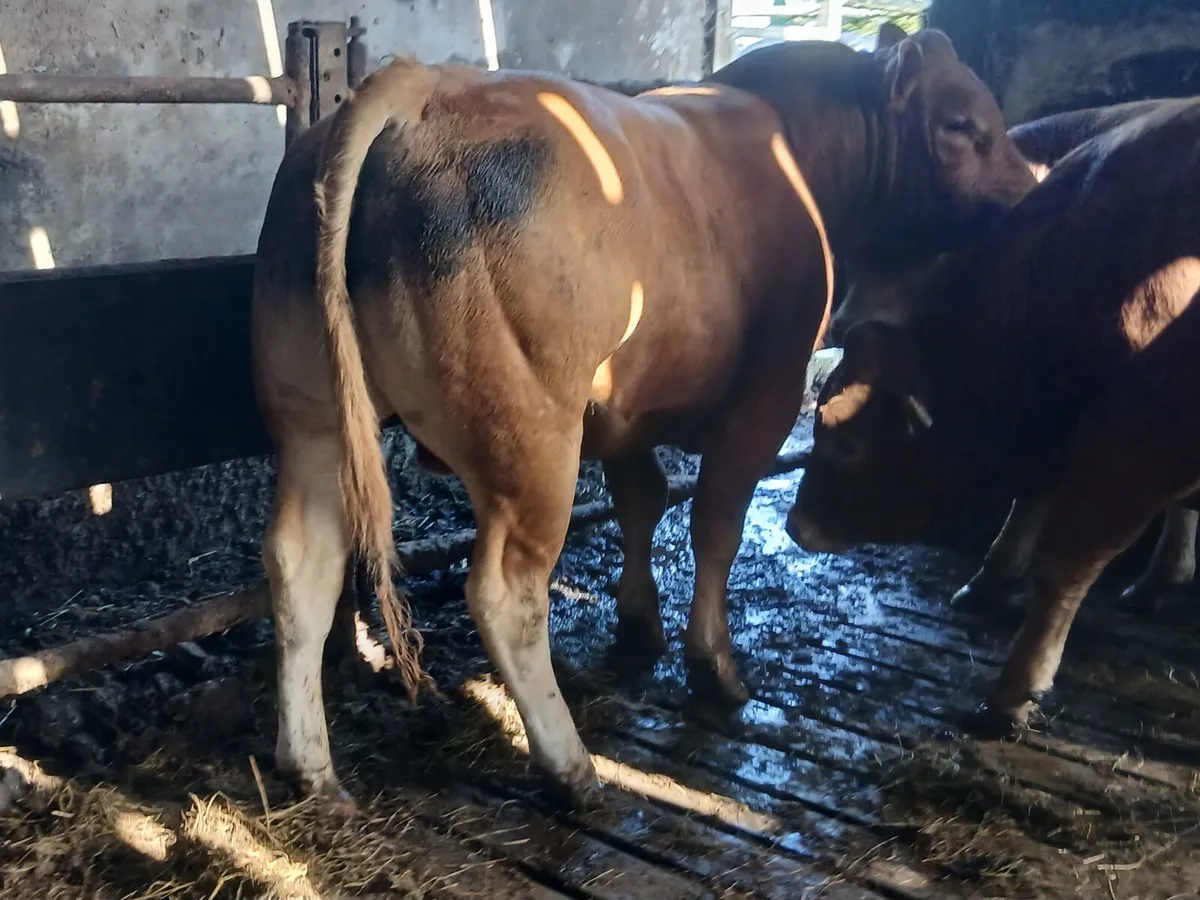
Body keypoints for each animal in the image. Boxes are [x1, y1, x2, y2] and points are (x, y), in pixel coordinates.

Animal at [251, 25, 1035, 811]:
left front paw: (637, 626)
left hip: (313, 416)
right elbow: (715, 524)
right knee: (505, 593)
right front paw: (714, 666)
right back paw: (570, 765)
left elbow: (641, 501)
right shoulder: (768, 395)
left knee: (300, 565)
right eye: (962, 125)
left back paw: (310, 767)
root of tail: (421, 86)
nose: (1028, 191)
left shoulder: (628, 407)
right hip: (532, 439)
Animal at [785, 97, 1200, 736]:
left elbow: (1064, 564)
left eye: (848, 446)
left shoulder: (1135, 444)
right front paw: (993, 574)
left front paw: (1015, 688)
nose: (796, 526)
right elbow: (1030, 497)